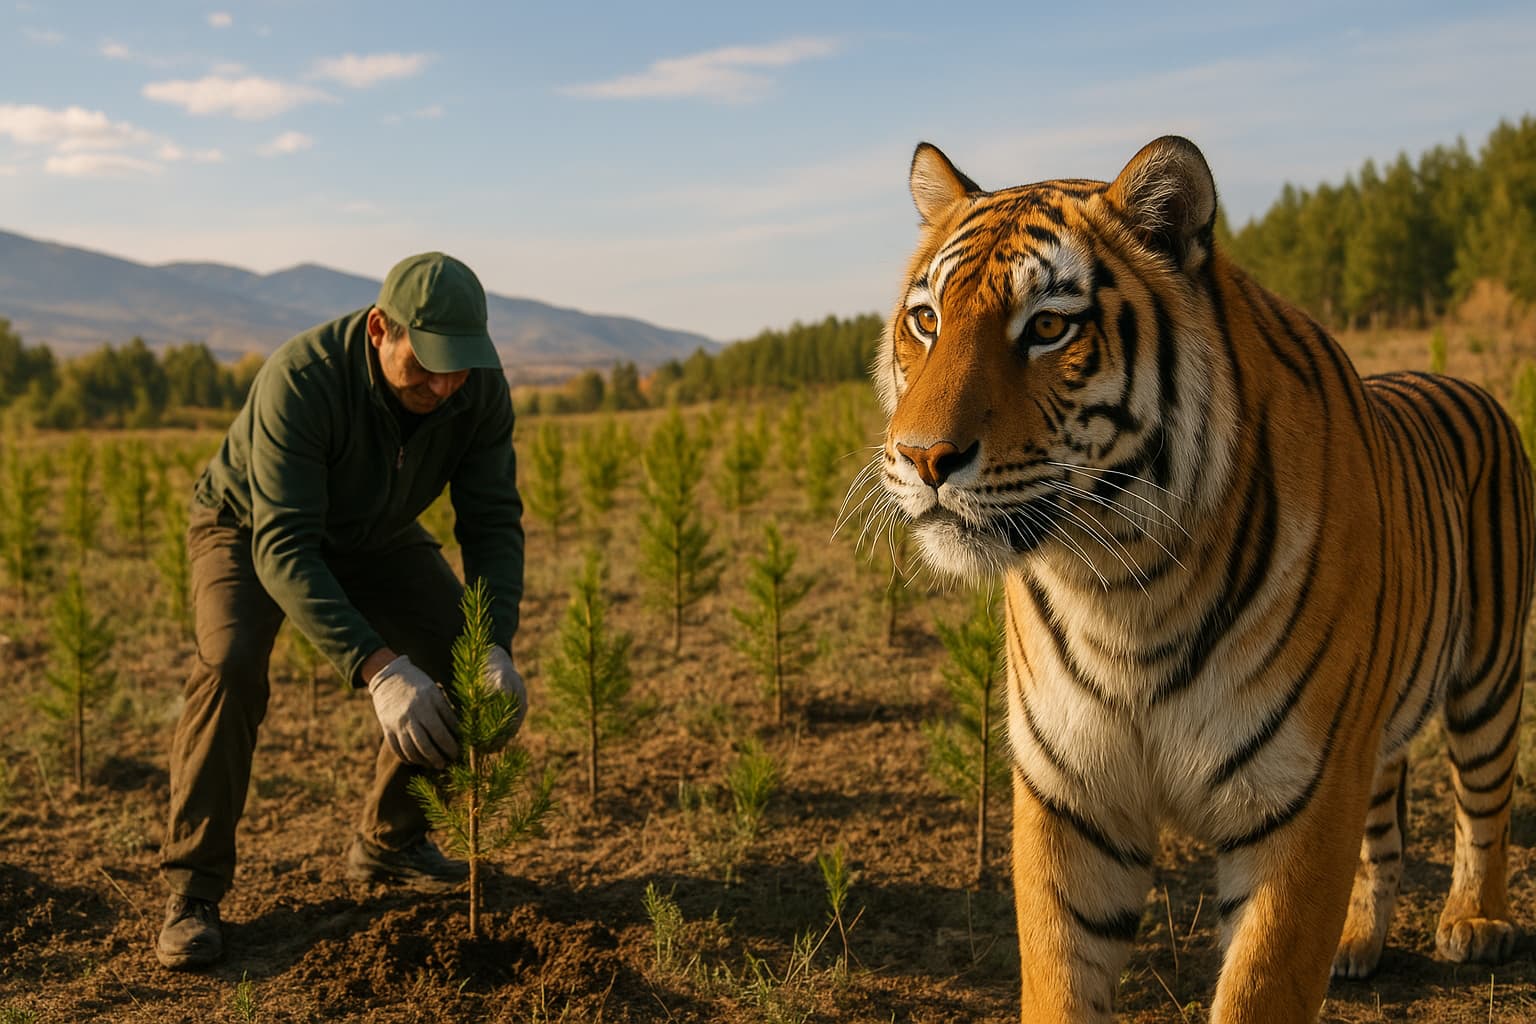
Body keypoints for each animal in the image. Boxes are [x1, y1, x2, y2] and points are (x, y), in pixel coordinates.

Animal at [866, 136, 1533, 1022]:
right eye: (926, 320)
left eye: (1047, 326)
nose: (921, 458)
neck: (1122, 585)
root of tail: (1464, 382)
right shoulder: (1072, 798)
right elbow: (1058, 978)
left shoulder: (1302, 800)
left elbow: (1260, 985)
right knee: (1386, 824)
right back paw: (1359, 941)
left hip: (1487, 680)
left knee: (1484, 804)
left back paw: (1476, 921)